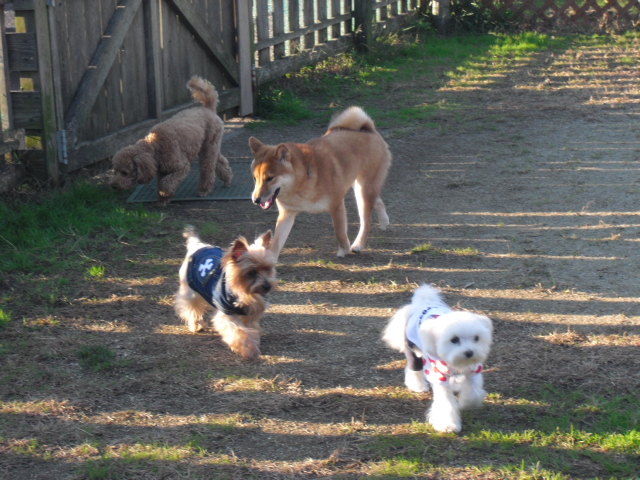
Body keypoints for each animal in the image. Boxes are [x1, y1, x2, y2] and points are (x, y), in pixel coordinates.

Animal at [110, 76, 233, 205]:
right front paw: (162, 200)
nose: (113, 186)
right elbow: (161, 184)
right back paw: (227, 178)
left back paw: (205, 189)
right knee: (220, 162)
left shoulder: (181, 167)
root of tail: (208, 108)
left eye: (125, 172)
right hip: (210, 146)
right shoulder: (162, 171)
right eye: (115, 171)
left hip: (209, 148)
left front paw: (166, 193)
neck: (155, 146)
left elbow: (167, 183)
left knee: (208, 169)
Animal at [175, 226, 277, 360]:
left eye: (268, 269)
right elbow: (239, 331)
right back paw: (196, 325)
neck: (245, 292)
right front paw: (249, 349)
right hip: (190, 289)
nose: (267, 286)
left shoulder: (251, 312)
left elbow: (250, 327)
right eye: (251, 272)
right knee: (191, 307)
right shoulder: (227, 313)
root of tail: (197, 244)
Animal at [249, 106, 391, 258]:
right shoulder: (286, 214)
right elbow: (276, 242)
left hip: (363, 189)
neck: (304, 179)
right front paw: (269, 259)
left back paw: (358, 245)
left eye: (270, 178)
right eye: (255, 178)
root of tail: (367, 128)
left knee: (367, 220)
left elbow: (339, 232)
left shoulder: (336, 205)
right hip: (358, 186)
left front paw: (344, 249)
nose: (256, 200)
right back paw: (384, 220)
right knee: (377, 200)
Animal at [382, 284, 493, 433]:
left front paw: (464, 403)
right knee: (414, 368)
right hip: (412, 348)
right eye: (454, 339)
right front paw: (448, 425)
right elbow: (445, 403)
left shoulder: (473, 371)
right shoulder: (438, 376)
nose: (470, 353)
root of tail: (424, 303)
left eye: (476, 338)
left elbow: (473, 394)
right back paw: (417, 385)